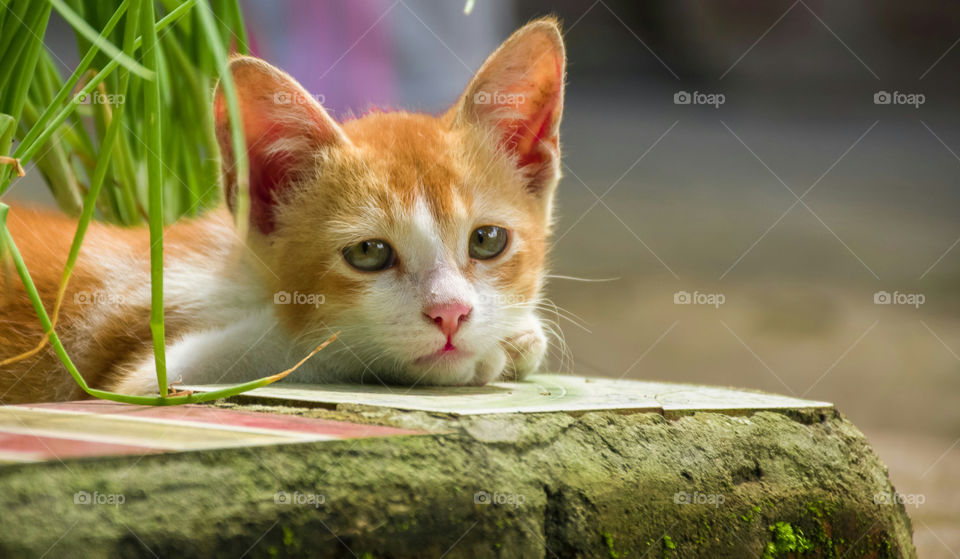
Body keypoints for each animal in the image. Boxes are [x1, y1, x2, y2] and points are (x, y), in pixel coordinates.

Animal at [0, 17, 568, 402]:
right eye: (368, 252)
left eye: (487, 240)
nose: (451, 313)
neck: (244, 277)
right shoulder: (140, 376)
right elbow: (302, 349)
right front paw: (499, 345)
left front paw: (517, 332)